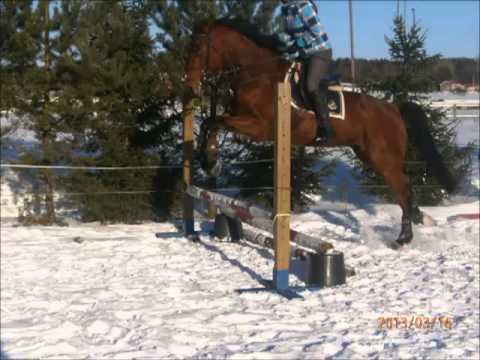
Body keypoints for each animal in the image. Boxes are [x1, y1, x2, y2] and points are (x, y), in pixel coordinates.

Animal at [183, 19, 454, 249]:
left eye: (196, 47)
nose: (189, 86)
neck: (256, 73)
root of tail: (393, 108)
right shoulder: (242, 118)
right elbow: (210, 123)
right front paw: (208, 160)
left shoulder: (259, 126)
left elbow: (214, 122)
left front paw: (210, 162)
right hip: (367, 154)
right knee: (404, 186)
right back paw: (415, 220)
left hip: (382, 158)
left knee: (403, 187)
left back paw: (405, 236)